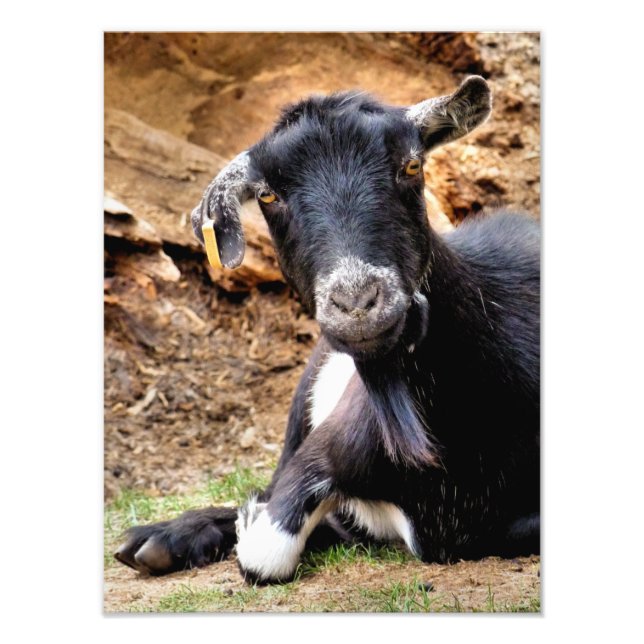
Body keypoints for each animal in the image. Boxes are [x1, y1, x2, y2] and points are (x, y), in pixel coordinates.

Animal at [114, 76, 540, 584]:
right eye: (267, 195)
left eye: (412, 164)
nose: (357, 303)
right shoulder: (324, 450)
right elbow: (266, 548)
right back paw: (160, 539)